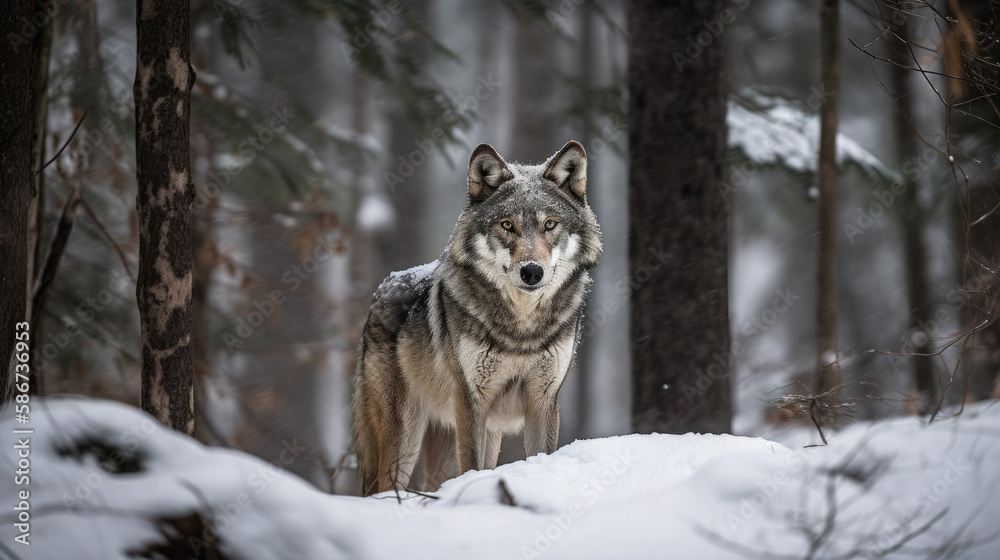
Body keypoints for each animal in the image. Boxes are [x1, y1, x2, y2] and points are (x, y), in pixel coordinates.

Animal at [352, 140, 600, 494]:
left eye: (550, 224)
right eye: (507, 225)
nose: (532, 272)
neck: (521, 330)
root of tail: (384, 286)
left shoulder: (543, 401)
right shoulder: (471, 401)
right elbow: (472, 464)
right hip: (404, 438)